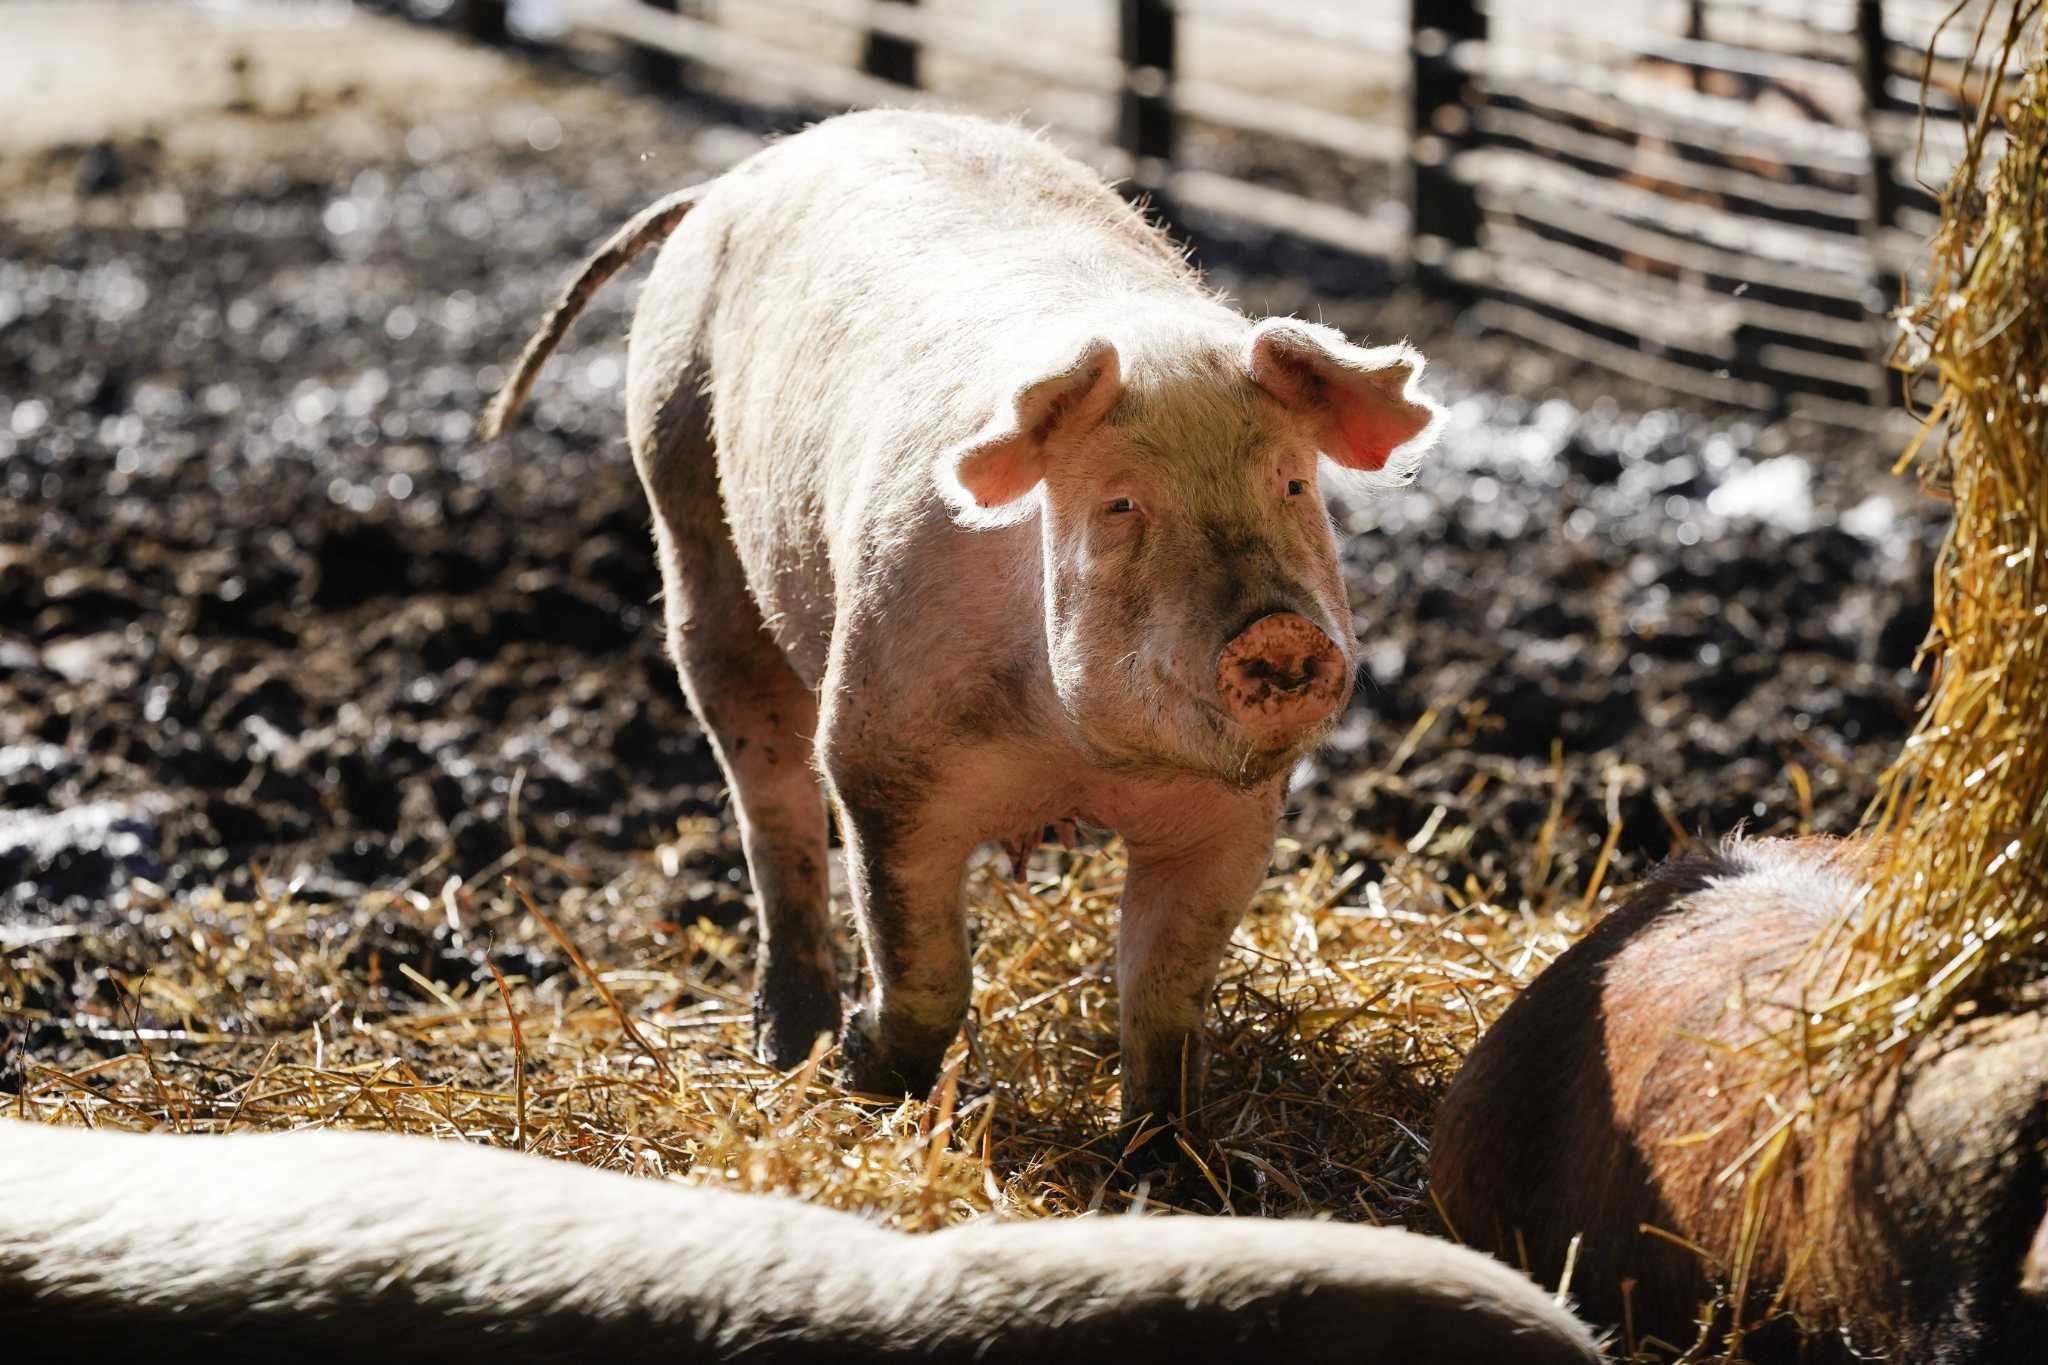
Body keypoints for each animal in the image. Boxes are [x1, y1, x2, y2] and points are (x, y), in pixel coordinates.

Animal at [482, 110, 1443, 1138]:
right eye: (1119, 505)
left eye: (1292, 484)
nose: (1278, 631)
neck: (1077, 756)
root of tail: (737, 177)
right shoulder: (881, 756)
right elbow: (924, 963)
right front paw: (868, 1074)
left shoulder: (1232, 814)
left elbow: (1164, 998)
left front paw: (1161, 1152)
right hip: (685, 500)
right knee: (769, 796)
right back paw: (790, 1041)